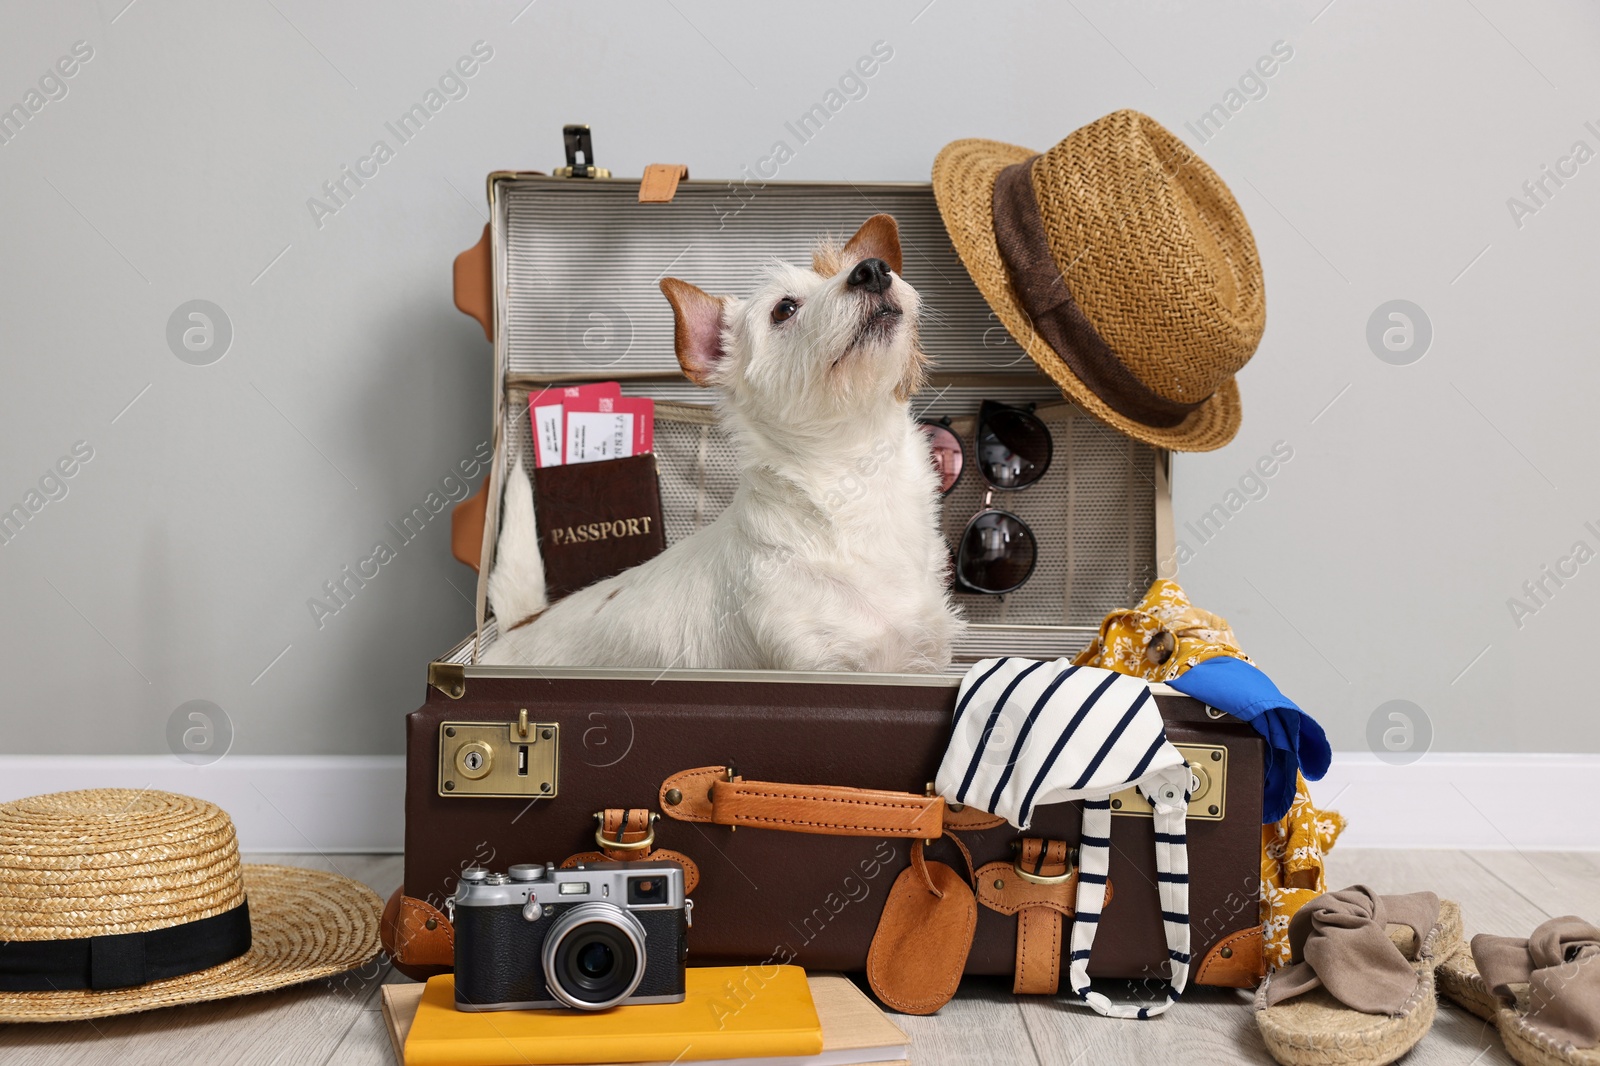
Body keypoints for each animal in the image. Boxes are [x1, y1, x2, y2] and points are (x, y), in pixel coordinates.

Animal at [480, 211, 953, 669]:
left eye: (857, 268)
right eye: (784, 308)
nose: (873, 269)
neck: (857, 476)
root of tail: (516, 627)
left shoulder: (923, 662)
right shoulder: (817, 667)